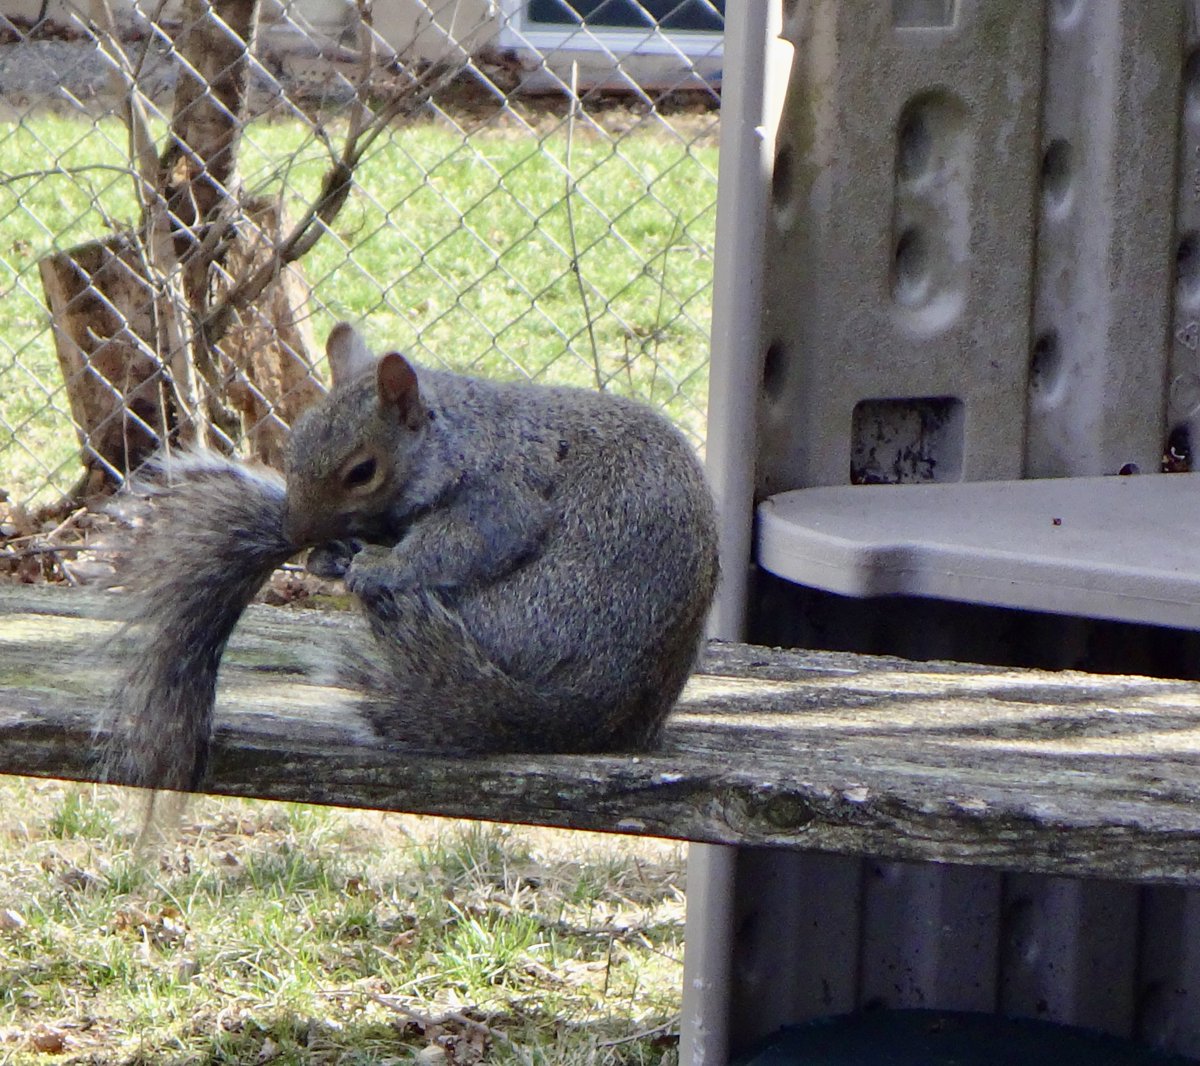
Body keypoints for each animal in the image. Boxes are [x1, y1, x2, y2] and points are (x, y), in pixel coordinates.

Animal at [110, 322, 719, 793]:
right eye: (294, 442)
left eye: (362, 472)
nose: (294, 531)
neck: (454, 436)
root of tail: (590, 703)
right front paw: (329, 557)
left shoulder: (503, 492)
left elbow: (463, 541)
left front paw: (378, 564)